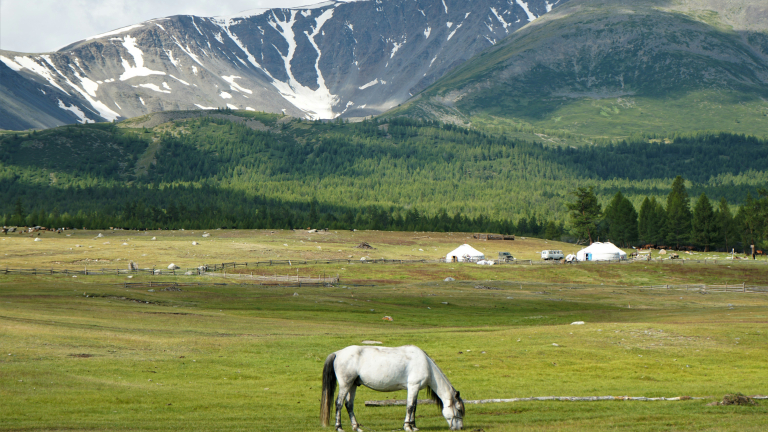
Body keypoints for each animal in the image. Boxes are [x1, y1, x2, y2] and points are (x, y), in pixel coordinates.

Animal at [321, 345, 464, 432]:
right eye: (459, 410)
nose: (460, 428)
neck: (425, 364)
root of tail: (338, 353)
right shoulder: (413, 386)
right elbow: (410, 406)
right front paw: (407, 426)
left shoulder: (415, 388)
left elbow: (414, 406)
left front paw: (414, 426)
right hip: (345, 384)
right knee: (339, 404)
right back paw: (339, 427)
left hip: (353, 385)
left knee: (349, 405)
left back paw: (356, 427)